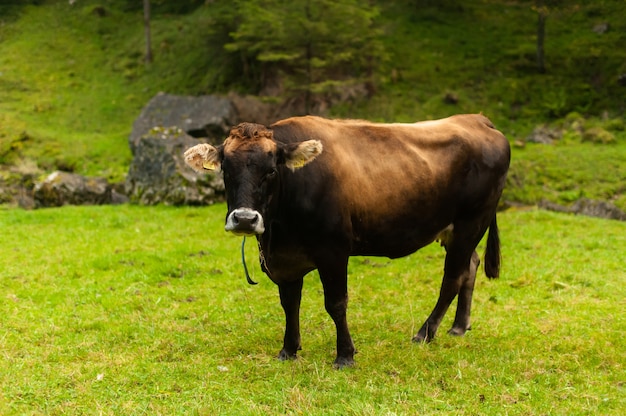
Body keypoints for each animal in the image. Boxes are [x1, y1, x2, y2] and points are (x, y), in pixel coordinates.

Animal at [183, 114, 510, 368]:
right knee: (470, 266)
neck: (280, 229)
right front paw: (288, 349)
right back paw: (459, 326)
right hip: (457, 231)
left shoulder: (334, 250)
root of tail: (477, 119)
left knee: (452, 278)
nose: (245, 219)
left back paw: (425, 333)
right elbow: (290, 304)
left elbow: (336, 303)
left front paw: (345, 355)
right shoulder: (285, 260)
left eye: (272, 170)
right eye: (226, 170)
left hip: (471, 222)